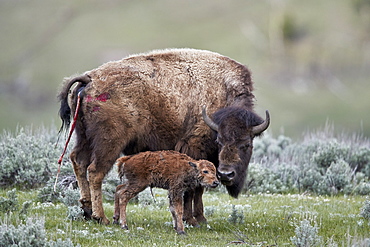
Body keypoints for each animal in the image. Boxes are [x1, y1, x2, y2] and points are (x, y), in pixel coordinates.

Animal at [59, 47, 270, 225]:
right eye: (219, 141)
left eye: (247, 144)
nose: (226, 174)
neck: (222, 94)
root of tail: (90, 79)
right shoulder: (194, 149)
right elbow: (194, 188)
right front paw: (192, 219)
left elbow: (200, 188)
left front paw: (201, 219)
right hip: (109, 142)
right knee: (95, 171)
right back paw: (101, 217)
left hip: (83, 136)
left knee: (78, 161)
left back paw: (86, 211)